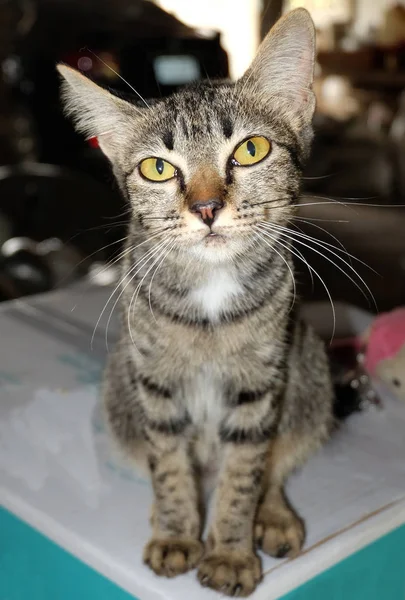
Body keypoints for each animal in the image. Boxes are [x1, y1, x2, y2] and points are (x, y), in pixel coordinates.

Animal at [59, 8, 332, 596]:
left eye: (251, 150)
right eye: (157, 169)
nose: (207, 207)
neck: (212, 286)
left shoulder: (260, 385)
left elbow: (243, 475)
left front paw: (229, 550)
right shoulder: (154, 382)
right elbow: (169, 466)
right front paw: (177, 533)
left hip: (310, 373)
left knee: (276, 464)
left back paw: (274, 516)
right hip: (120, 388)